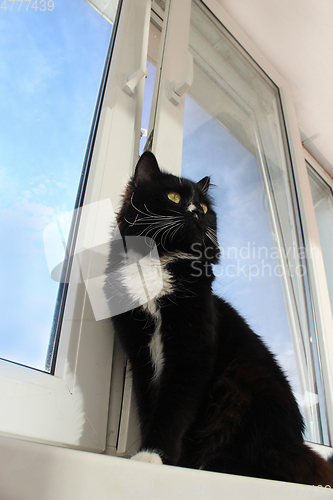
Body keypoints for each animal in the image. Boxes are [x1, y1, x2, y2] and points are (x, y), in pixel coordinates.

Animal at [105, 151, 332, 484]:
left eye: (202, 207)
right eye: (174, 197)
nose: (196, 214)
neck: (159, 260)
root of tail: (295, 444)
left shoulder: (192, 353)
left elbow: (173, 410)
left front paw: (155, 456)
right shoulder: (140, 353)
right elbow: (151, 407)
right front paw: (150, 453)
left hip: (242, 384)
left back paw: (216, 464)